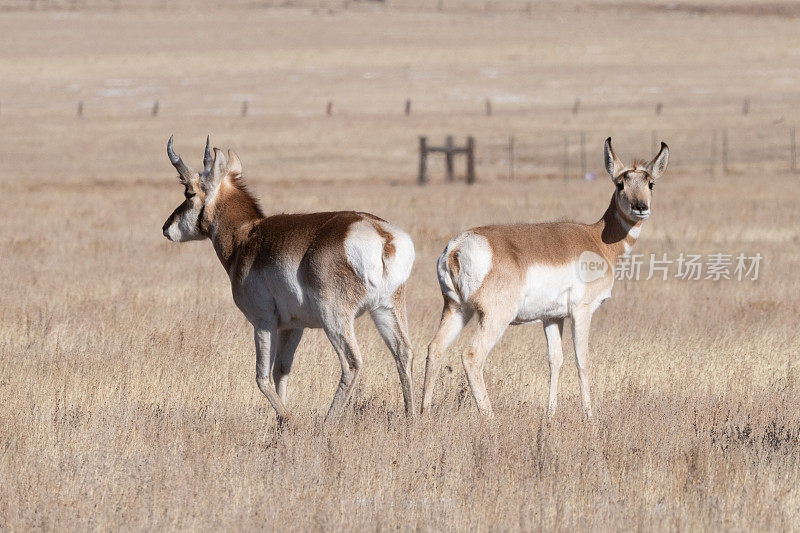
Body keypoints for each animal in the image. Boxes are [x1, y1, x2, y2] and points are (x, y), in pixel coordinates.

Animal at [159, 135, 416, 422]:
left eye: (189, 192)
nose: (166, 228)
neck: (246, 236)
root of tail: (381, 233)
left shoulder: (263, 322)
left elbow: (262, 377)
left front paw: (287, 419)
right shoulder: (293, 327)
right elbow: (281, 371)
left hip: (334, 318)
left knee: (351, 363)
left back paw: (327, 422)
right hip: (386, 309)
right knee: (403, 353)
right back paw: (411, 418)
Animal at [418, 138, 668, 420]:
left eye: (650, 183)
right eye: (620, 184)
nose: (641, 207)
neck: (596, 240)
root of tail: (458, 246)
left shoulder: (552, 317)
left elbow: (555, 360)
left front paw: (550, 415)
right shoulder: (582, 312)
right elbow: (582, 359)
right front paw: (589, 416)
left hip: (456, 309)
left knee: (435, 348)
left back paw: (422, 414)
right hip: (494, 317)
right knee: (472, 355)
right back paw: (490, 418)